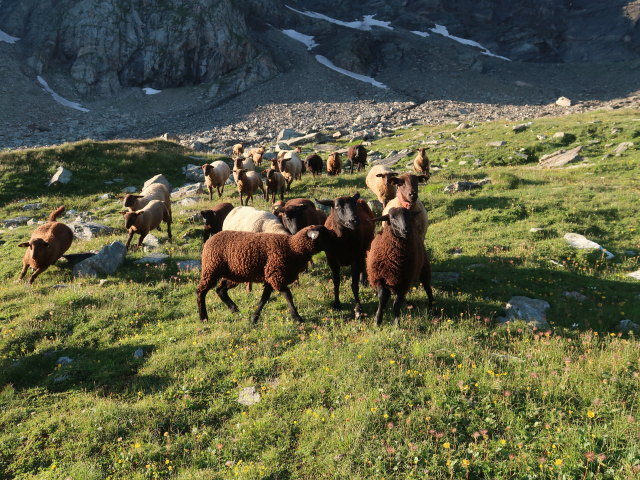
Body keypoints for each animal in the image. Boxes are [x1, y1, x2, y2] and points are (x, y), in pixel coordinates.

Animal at [198, 224, 332, 322]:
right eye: (324, 234)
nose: (336, 240)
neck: (293, 248)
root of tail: (210, 239)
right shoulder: (275, 275)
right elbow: (288, 295)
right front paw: (297, 317)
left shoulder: (270, 276)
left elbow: (264, 298)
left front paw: (254, 318)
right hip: (211, 269)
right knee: (201, 291)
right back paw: (203, 317)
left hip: (233, 274)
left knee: (220, 290)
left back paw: (234, 309)